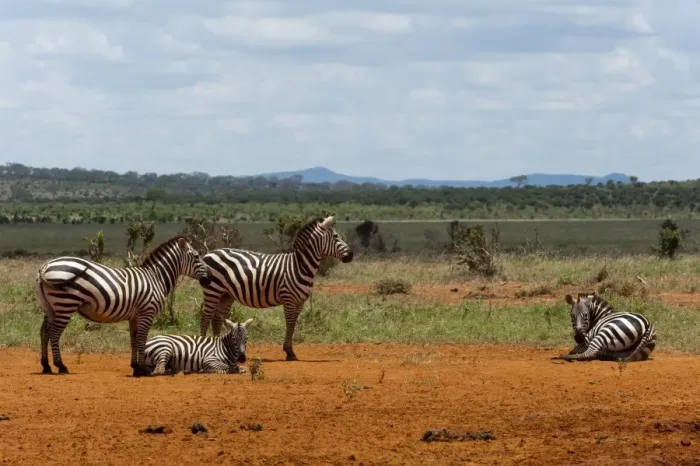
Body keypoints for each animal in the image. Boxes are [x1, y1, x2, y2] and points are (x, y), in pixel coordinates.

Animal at [35, 235, 212, 377]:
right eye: (197, 256)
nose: (210, 276)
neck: (155, 278)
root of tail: (46, 265)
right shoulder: (147, 312)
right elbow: (141, 340)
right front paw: (143, 369)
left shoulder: (134, 316)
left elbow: (133, 340)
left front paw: (135, 368)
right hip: (66, 303)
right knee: (54, 334)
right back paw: (61, 366)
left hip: (50, 307)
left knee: (44, 332)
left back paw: (46, 366)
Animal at [199, 215, 353, 361]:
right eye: (336, 237)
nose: (351, 255)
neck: (299, 266)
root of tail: (209, 253)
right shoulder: (289, 298)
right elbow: (290, 324)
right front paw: (289, 352)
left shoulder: (300, 302)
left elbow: (293, 325)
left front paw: (290, 351)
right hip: (212, 290)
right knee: (205, 317)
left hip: (225, 294)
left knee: (217, 319)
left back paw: (220, 349)